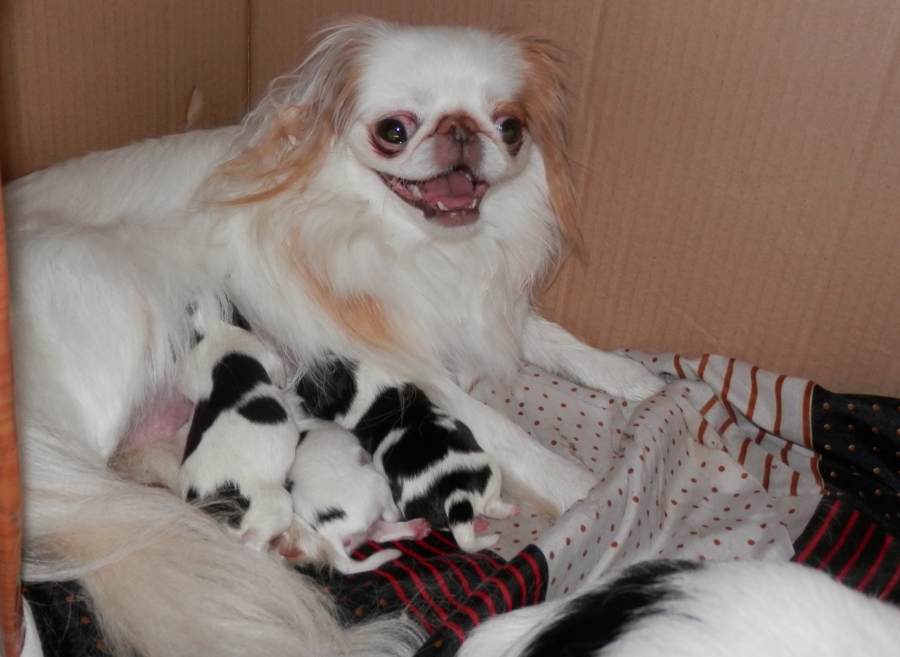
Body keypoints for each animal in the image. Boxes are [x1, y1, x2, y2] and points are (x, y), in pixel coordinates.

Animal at [296, 356, 520, 552]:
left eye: (308, 392)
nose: (295, 387)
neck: (363, 386)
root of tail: (457, 492)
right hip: (490, 474)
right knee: (490, 507)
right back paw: (494, 517)